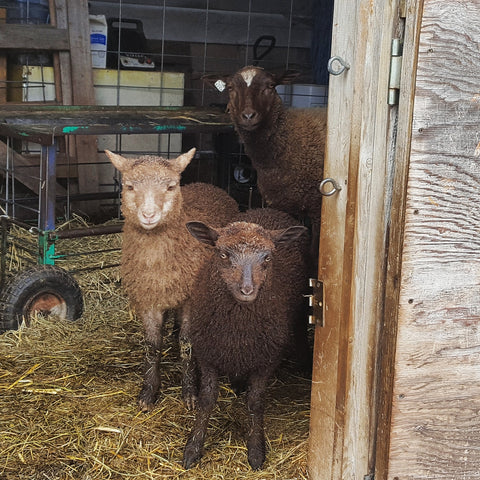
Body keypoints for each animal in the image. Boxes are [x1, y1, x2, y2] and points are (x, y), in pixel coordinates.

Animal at [106, 149, 239, 412]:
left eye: (171, 186)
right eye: (129, 186)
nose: (148, 215)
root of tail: (206, 184)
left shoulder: (190, 300)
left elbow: (187, 344)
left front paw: (189, 392)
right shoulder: (148, 299)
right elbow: (151, 346)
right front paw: (148, 392)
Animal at [182, 206, 310, 468]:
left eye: (267, 257)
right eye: (222, 254)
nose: (247, 290)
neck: (237, 329)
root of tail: (267, 209)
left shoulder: (267, 359)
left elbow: (256, 402)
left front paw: (256, 450)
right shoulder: (207, 353)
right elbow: (207, 400)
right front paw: (193, 447)